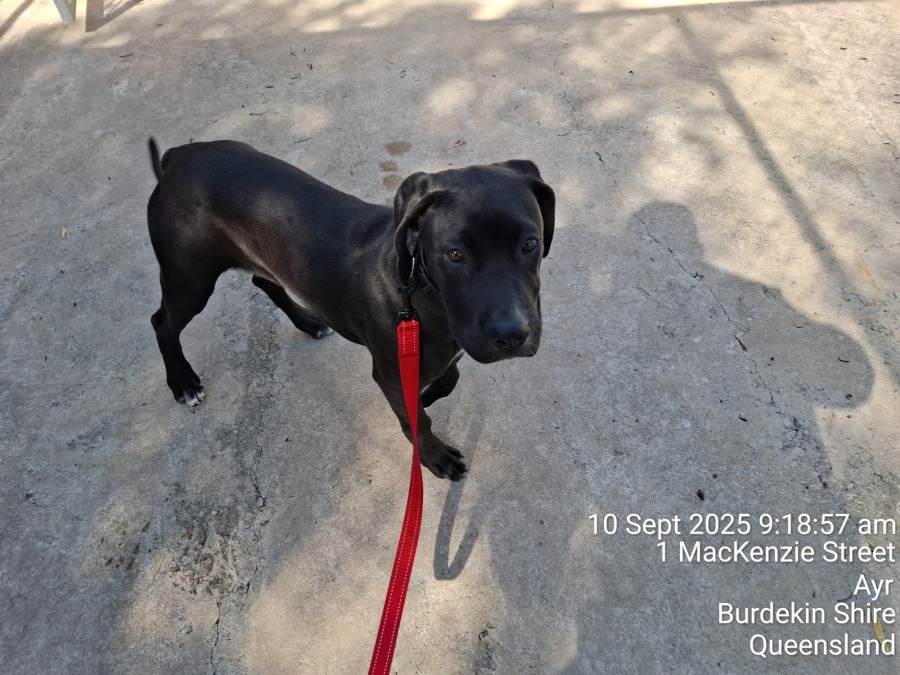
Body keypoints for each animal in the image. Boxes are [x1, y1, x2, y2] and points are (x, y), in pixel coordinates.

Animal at [147, 139, 554, 480]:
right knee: (162, 323)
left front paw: (426, 396)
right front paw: (432, 454)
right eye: (454, 254)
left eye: (530, 243)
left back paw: (309, 322)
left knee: (264, 282)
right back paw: (183, 383)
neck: (423, 292)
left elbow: (446, 380)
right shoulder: (391, 373)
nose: (511, 336)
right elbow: (418, 421)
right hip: (190, 278)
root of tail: (177, 157)